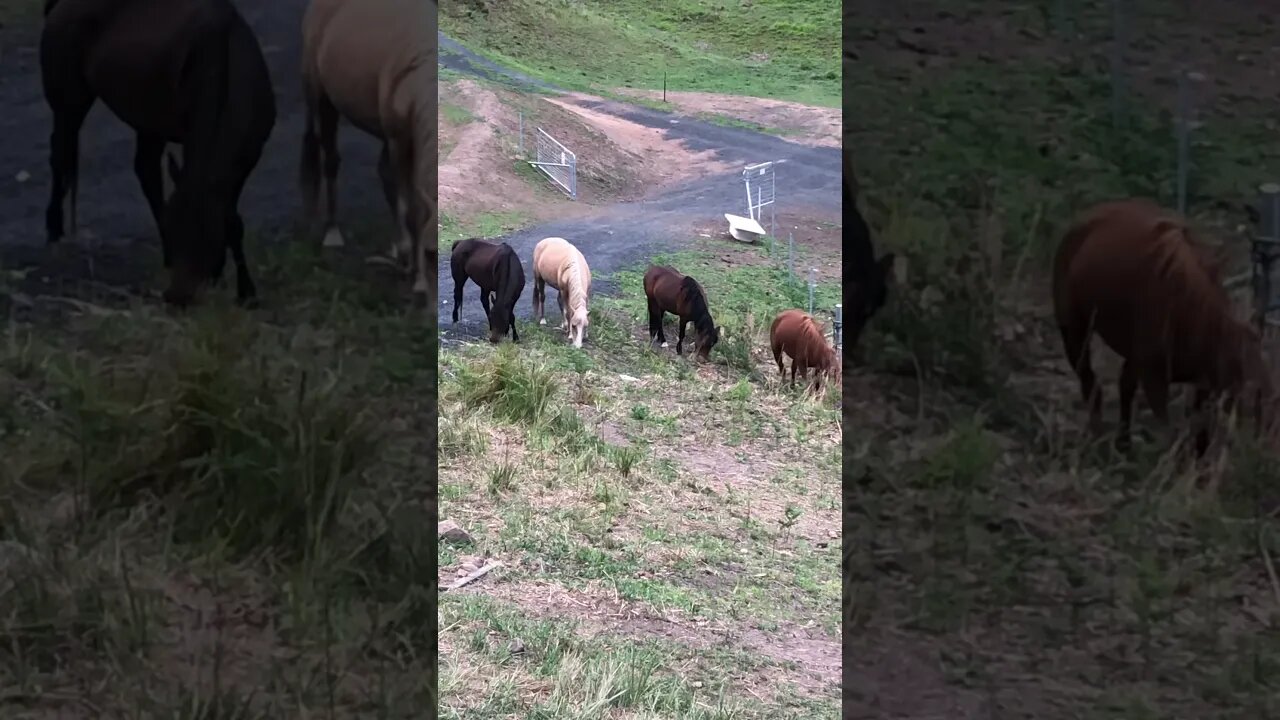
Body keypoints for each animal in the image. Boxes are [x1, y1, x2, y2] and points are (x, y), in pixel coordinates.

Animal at [41, 0, 276, 304]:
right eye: (176, 232)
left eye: (208, 239)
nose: (176, 297)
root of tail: (60, 5)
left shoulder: (244, 160)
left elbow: (232, 221)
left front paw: (245, 291)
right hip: (69, 103)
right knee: (60, 155)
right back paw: (53, 229)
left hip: (148, 122)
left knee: (146, 170)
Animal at [300, 0, 437, 298]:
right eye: (431, 254)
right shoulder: (400, 141)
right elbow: (412, 209)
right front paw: (414, 274)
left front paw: (408, 263)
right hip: (321, 99)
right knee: (329, 160)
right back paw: (331, 233)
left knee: (383, 175)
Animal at [1054, 197, 1274, 453]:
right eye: (1252, 399)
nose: (1263, 444)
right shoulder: (1156, 380)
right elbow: (1169, 434)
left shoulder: (1204, 383)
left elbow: (1200, 433)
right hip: (1074, 331)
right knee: (1090, 382)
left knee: (1122, 385)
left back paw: (1123, 442)